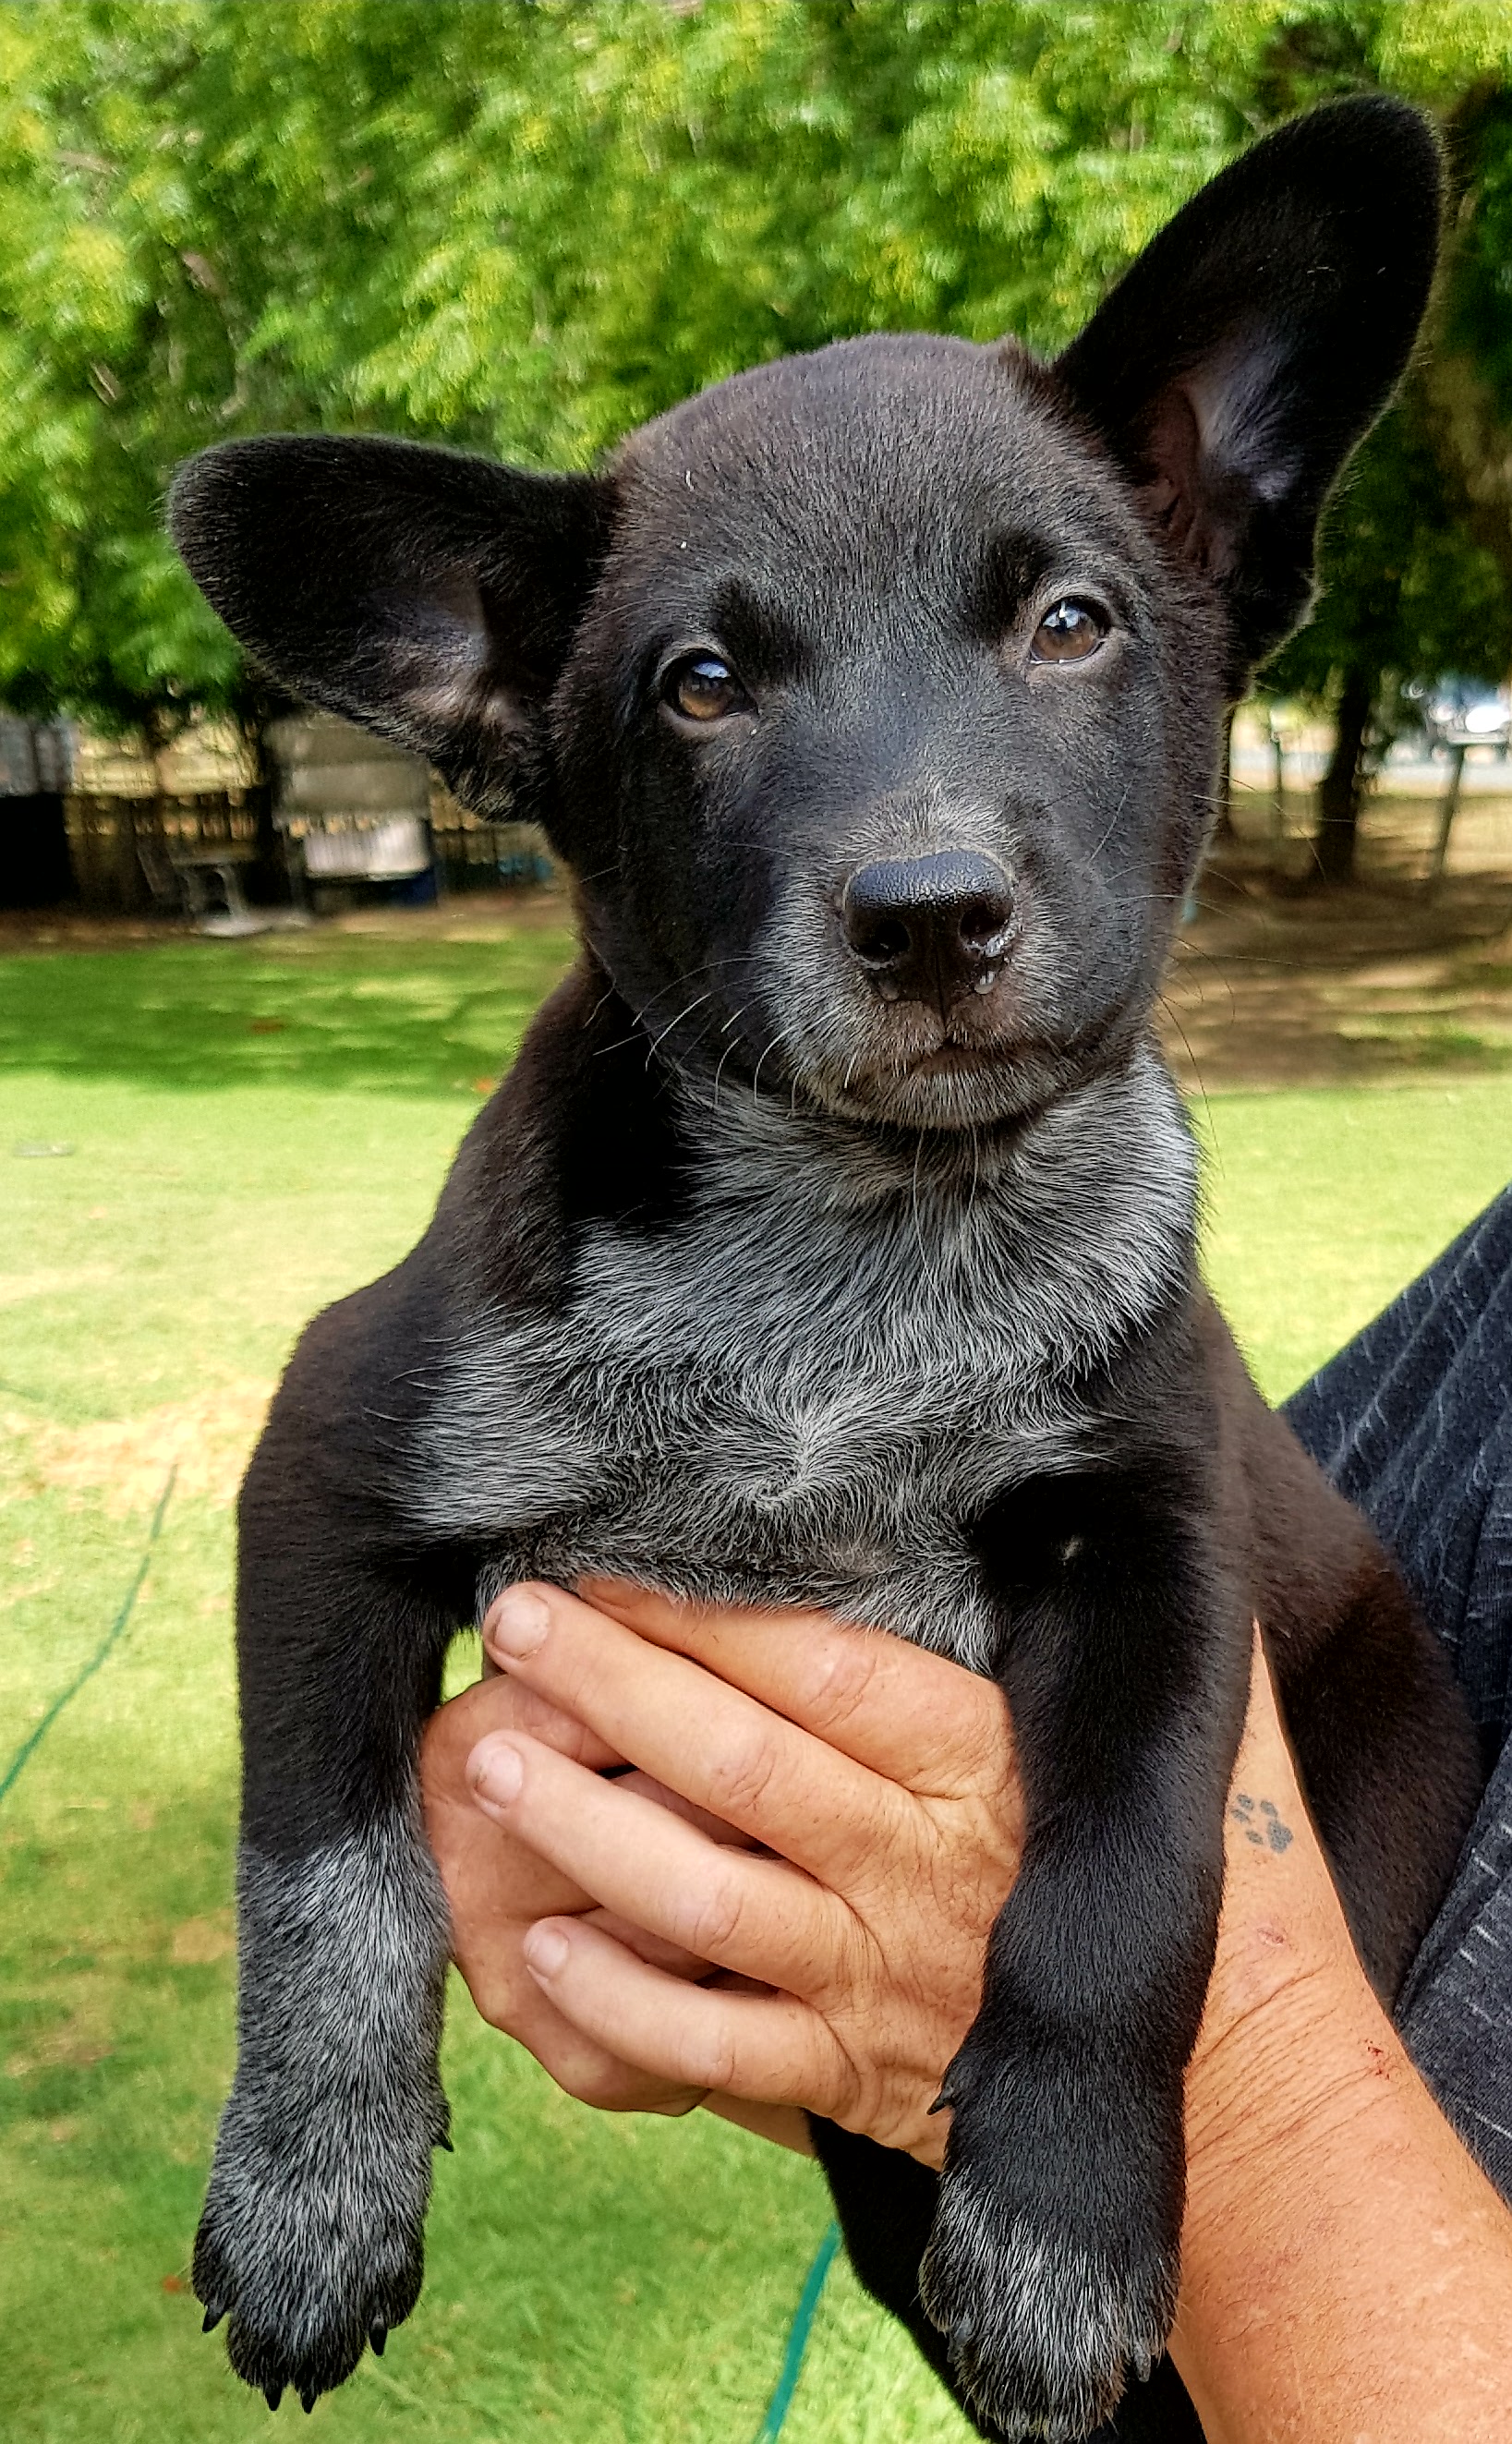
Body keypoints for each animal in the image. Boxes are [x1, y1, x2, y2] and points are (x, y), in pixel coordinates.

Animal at [170, 95, 1480, 2441]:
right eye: (695, 687)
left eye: (1067, 623)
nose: (926, 911)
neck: (858, 1272)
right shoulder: (320, 1471)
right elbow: (323, 1872)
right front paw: (311, 2194)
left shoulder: (1159, 1549)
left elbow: (1118, 1894)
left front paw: (1060, 2231)